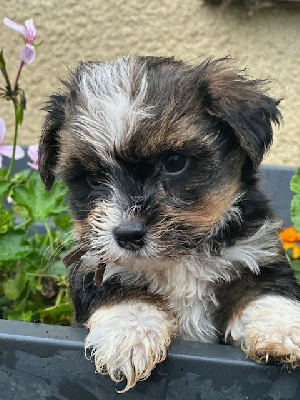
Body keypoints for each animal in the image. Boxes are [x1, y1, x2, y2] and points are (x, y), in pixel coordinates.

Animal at [38, 56, 300, 390]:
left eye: (175, 163)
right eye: (93, 179)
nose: (127, 234)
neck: (179, 259)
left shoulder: (255, 252)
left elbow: (266, 293)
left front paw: (283, 331)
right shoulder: (95, 264)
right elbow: (122, 295)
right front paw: (129, 335)